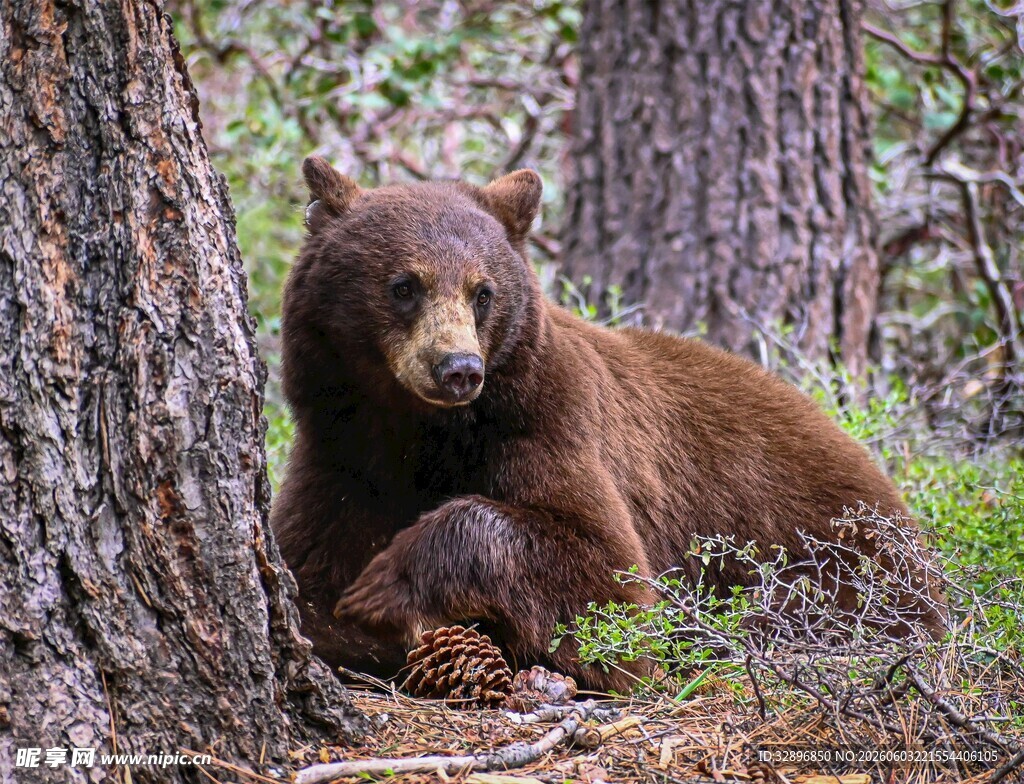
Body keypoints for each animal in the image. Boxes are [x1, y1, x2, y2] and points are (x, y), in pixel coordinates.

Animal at [270, 156, 947, 692]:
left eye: (483, 292)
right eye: (404, 285)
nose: (458, 369)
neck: (419, 434)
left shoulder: (547, 424)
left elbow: (608, 585)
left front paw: (384, 587)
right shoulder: (340, 459)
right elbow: (306, 571)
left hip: (835, 559)